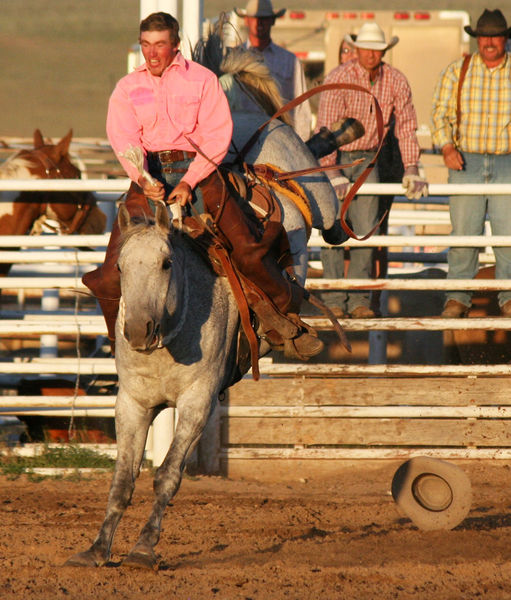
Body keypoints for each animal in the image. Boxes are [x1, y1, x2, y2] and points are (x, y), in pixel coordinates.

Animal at [66, 205, 240, 568]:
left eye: (166, 263)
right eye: (120, 266)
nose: (137, 330)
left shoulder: (198, 403)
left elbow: (167, 475)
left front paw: (144, 548)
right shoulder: (132, 404)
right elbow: (122, 480)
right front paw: (97, 549)